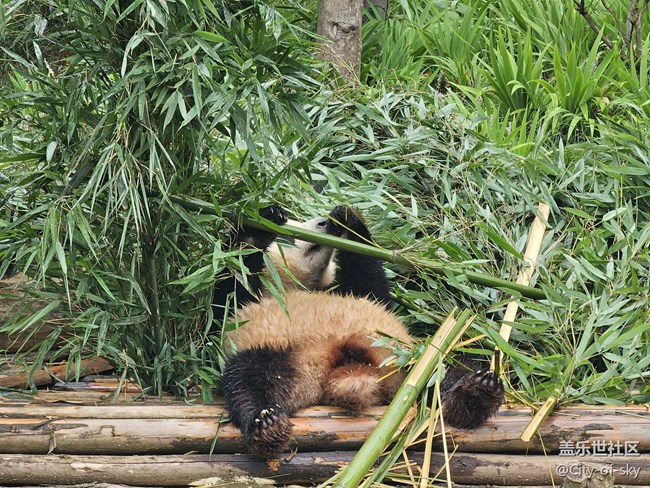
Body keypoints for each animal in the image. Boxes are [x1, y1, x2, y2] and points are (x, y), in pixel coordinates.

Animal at [212, 205, 504, 458]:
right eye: (289, 235)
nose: (324, 223)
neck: (293, 285)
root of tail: (345, 371)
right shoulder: (245, 308)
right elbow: (228, 291)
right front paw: (261, 224)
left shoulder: (357, 294)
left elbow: (370, 282)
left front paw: (346, 218)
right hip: (280, 354)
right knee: (247, 380)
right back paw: (266, 425)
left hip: (409, 357)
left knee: (447, 367)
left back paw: (476, 394)